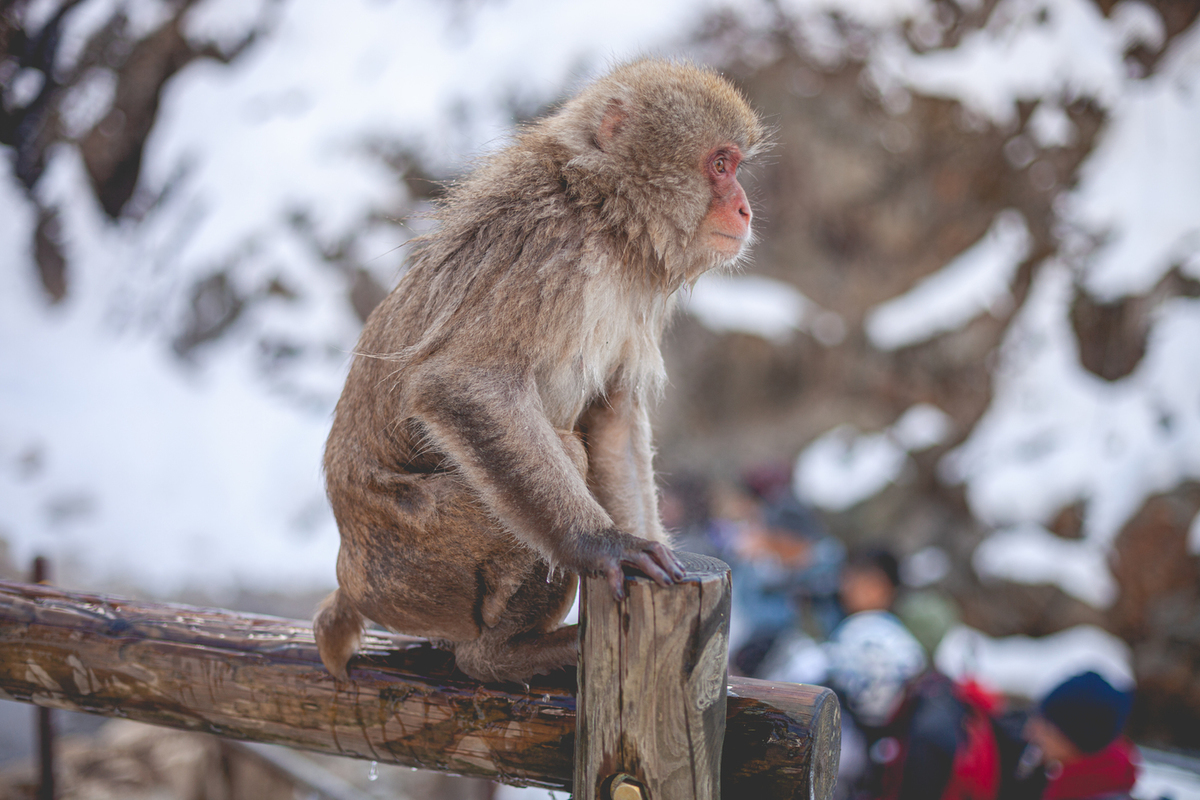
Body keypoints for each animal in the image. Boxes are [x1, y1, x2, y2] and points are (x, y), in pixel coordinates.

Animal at [316, 57, 768, 681]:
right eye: (720, 165)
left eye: (737, 166)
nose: (745, 208)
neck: (605, 218)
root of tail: (350, 573)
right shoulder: (541, 245)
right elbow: (461, 384)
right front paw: (601, 545)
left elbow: (613, 420)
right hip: (412, 565)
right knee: (561, 453)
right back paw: (498, 656)